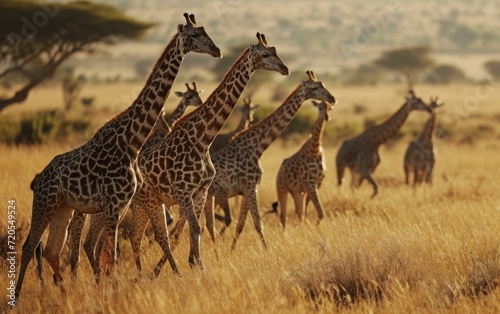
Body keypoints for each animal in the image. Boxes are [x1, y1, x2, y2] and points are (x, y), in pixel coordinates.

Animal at [132, 33, 290, 276]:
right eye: (265, 54)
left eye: (275, 50)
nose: (285, 69)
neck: (203, 139)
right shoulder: (183, 192)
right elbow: (195, 228)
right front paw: (198, 267)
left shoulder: (201, 192)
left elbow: (195, 229)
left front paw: (195, 264)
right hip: (148, 199)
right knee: (157, 235)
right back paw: (166, 272)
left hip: (148, 202)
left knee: (138, 235)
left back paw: (141, 274)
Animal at [272, 100, 334, 228]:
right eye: (320, 108)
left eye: (330, 108)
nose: (326, 117)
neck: (314, 149)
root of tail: (279, 172)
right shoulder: (310, 184)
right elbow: (320, 212)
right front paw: (315, 227)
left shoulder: (317, 184)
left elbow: (309, 211)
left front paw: (312, 227)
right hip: (282, 188)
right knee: (283, 215)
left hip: (297, 192)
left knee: (299, 212)